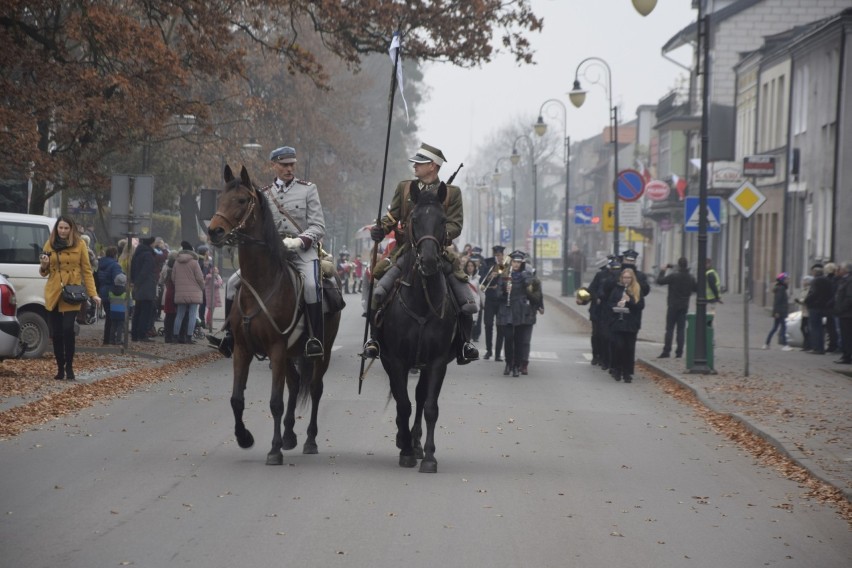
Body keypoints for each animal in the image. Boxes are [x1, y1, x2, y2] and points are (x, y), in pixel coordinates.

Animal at [206, 164, 340, 466]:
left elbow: (275, 402)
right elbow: (237, 399)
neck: (262, 282)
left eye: (241, 200)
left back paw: (309, 440)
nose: (214, 231)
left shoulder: (277, 348)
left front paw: (274, 450)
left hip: (321, 351)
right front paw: (244, 437)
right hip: (290, 353)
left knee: (315, 388)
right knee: (294, 384)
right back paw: (290, 435)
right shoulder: (243, 349)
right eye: (219, 198)